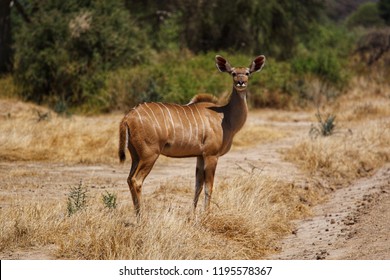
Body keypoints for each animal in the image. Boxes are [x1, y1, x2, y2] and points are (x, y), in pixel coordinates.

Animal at [119, 55, 266, 217]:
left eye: (247, 73)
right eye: (233, 73)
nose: (241, 82)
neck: (225, 117)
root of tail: (128, 117)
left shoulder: (200, 156)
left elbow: (198, 186)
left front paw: (193, 215)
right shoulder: (211, 155)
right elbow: (209, 186)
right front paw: (206, 215)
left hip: (135, 155)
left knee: (129, 179)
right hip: (149, 154)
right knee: (136, 180)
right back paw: (142, 217)